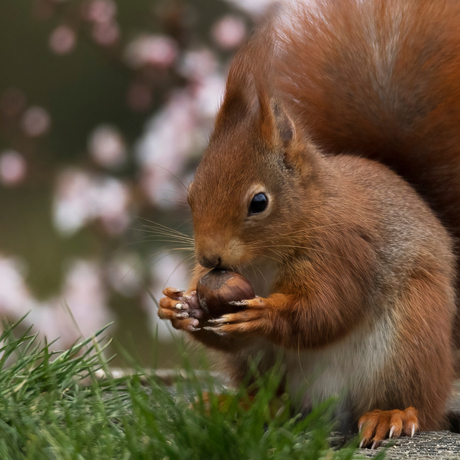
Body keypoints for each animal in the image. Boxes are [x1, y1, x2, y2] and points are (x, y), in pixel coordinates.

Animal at [156, 0, 458, 448]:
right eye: (191, 194)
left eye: (259, 202)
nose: (209, 258)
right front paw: (179, 306)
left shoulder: (342, 250)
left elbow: (326, 310)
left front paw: (264, 315)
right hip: (260, 367)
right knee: (277, 404)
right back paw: (236, 405)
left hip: (410, 339)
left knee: (415, 400)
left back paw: (391, 415)